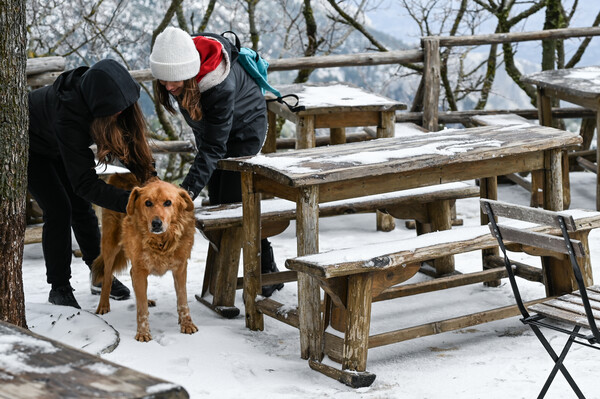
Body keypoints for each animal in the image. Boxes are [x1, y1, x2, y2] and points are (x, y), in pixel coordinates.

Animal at [92, 173, 197, 342]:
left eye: (168, 203)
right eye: (148, 203)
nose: (156, 223)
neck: (160, 242)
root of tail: (120, 174)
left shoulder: (180, 269)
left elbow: (183, 301)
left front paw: (186, 324)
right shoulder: (140, 269)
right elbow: (141, 310)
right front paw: (143, 332)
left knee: (132, 278)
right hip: (110, 247)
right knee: (107, 278)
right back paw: (103, 305)